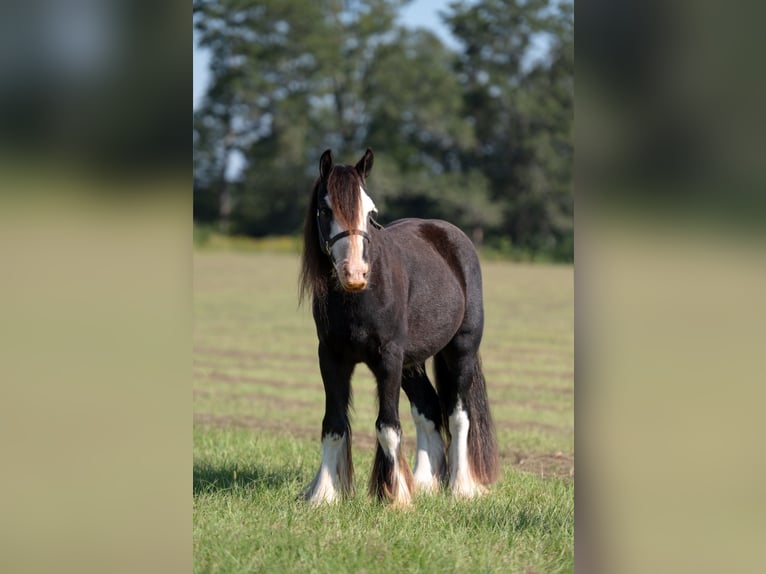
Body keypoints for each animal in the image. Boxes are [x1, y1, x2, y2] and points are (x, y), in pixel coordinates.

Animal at [296, 148, 500, 508]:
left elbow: (387, 426)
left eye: (371, 211)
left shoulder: (388, 359)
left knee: (459, 415)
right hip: (412, 363)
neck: (360, 298)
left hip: (460, 351)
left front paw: (395, 498)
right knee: (429, 408)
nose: (355, 274)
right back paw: (424, 482)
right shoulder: (331, 357)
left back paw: (460, 487)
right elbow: (333, 425)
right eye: (325, 209)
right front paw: (324, 495)